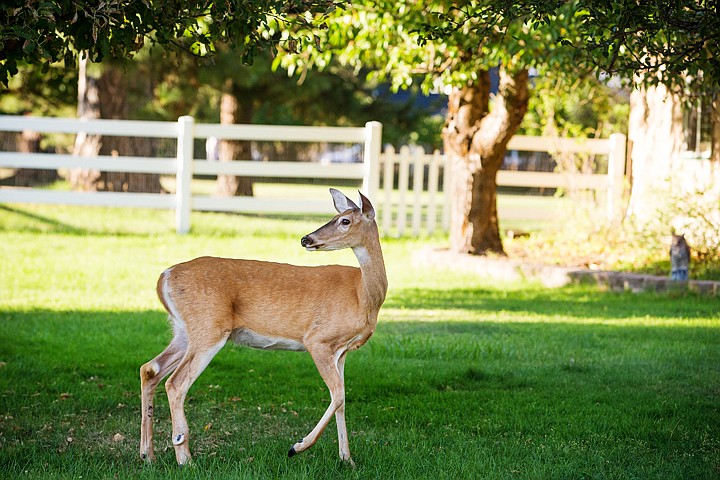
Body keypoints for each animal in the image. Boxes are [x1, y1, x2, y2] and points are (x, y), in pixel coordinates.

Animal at [141, 188, 388, 464]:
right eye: (337, 217)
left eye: (345, 220)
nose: (306, 239)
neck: (363, 295)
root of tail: (163, 277)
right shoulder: (318, 339)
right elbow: (338, 394)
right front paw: (297, 446)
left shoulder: (342, 351)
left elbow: (342, 399)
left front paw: (347, 459)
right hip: (209, 328)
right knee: (175, 383)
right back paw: (185, 458)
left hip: (184, 331)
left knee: (149, 369)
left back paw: (147, 455)